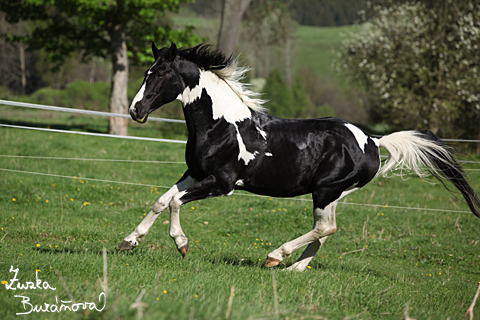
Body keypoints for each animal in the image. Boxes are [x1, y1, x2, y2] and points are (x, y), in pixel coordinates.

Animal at [118, 42, 478, 272]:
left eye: (160, 74)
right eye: (148, 72)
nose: (135, 110)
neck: (222, 124)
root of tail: (373, 140)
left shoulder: (222, 183)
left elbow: (175, 203)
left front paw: (181, 244)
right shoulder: (193, 173)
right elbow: (162, 200)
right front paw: (128, 242)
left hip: (326, 190)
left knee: (325, 228)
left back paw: (276, 257)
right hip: (333, 193)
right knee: (327, 229)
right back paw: (295, 269)